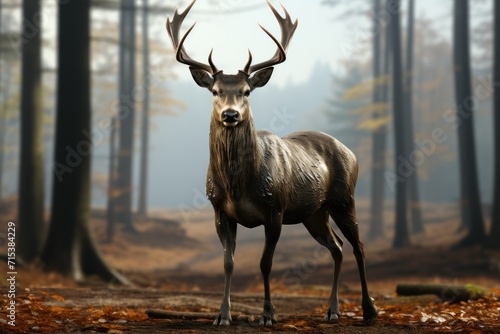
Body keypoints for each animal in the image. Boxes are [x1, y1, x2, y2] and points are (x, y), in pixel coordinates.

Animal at [166, 0, 376, 326]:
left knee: (359, 246)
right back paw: (332, 311)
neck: (238, 186)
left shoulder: (274, 209)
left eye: (246, 91)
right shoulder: (219, 210)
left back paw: (368, 310)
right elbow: (228, 262)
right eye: (215, 91)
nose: (230, 114)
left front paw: (268, 315)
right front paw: (222, 315)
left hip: (344, 198)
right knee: (338, 248)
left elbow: (265, 263)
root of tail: (351, 153)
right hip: (314, 213)